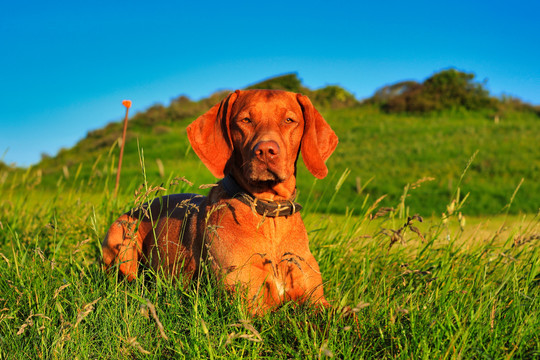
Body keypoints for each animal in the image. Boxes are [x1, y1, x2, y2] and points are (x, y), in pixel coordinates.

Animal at [101, 89, 338, 312]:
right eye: (245, 120)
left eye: (289, 120)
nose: (266, 151)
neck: (269, 217)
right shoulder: (250, 305)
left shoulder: (317, 301)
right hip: (122, 236)